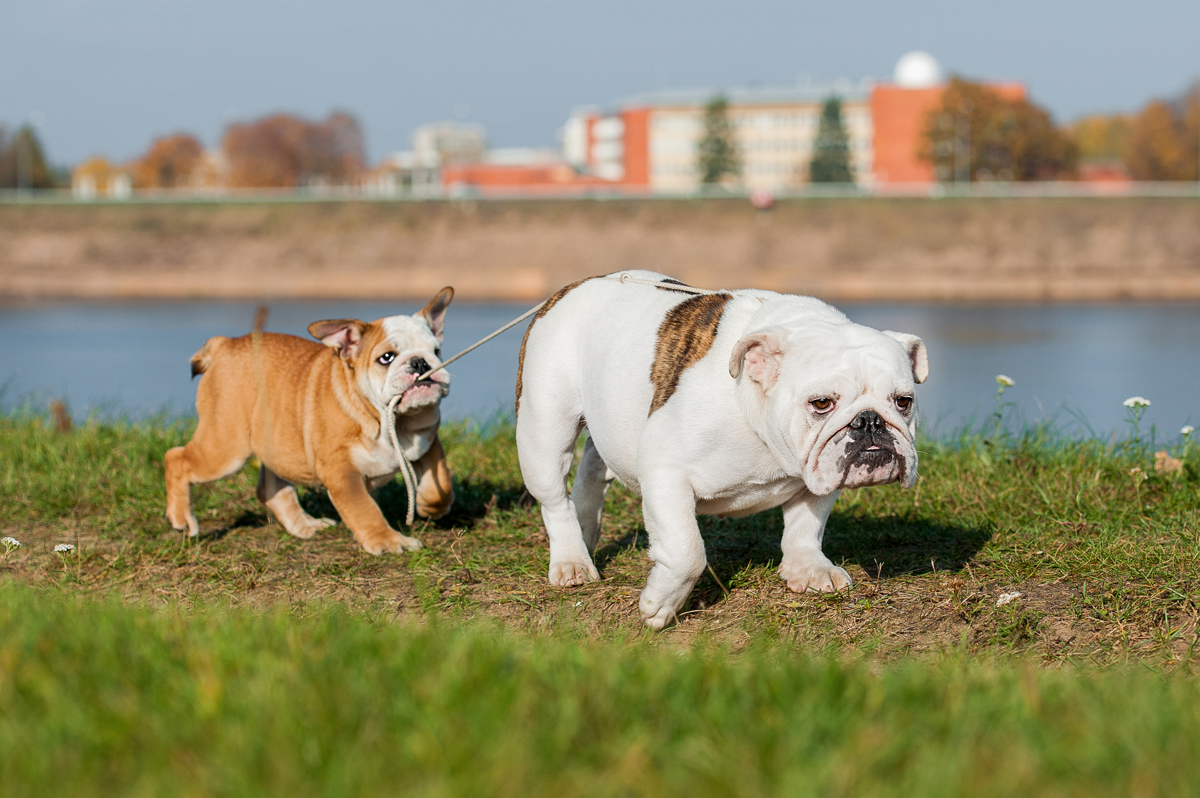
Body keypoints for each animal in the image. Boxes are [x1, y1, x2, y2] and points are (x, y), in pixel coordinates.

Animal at [164, 288, 453, 554]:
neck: (395, 421)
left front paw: (430, 505)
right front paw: (389, 541)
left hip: (273, 440)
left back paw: (306, 525)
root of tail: (224, 344)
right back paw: (182, 520)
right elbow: (365, 509)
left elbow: (441, 480)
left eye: (437, 350)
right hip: (225, 447)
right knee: (176, 459)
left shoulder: (429, 441)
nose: (420, 362)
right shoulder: (341, 472)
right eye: (387, 358)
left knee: (271, 488)